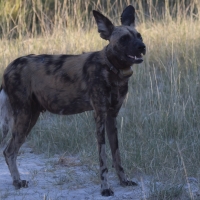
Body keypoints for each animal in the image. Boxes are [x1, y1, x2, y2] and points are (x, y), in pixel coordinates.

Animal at [0, 5, 145, 196]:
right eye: (124, 39)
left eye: (139, 36)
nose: (142, 47)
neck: (112, 69)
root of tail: (9, 66)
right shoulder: (99, 116)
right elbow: (103, 158)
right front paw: (105, 188)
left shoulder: (111, 117)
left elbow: (116, 155)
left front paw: (123, 181)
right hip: (24, 117)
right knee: (9, 151)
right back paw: (17, 182)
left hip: (30, 119)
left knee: (11, 151)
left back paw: (17, 181)